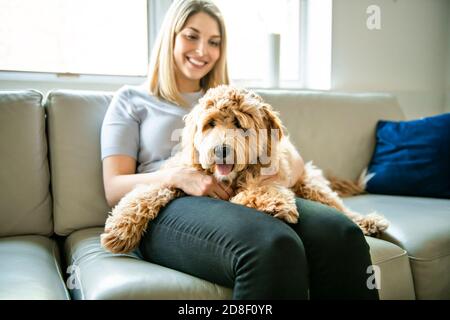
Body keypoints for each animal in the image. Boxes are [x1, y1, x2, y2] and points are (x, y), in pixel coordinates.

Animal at [100, 85, 388, 255]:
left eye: (240, 124)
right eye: (211, 123)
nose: (221, 150)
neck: (229, 177)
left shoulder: (267, 178)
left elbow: (260, 191)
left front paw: (273, 204)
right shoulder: (175, 175)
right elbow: (145, 193)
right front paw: (120, 229)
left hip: (312, 185)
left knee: (341, 209)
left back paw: (368, 221)